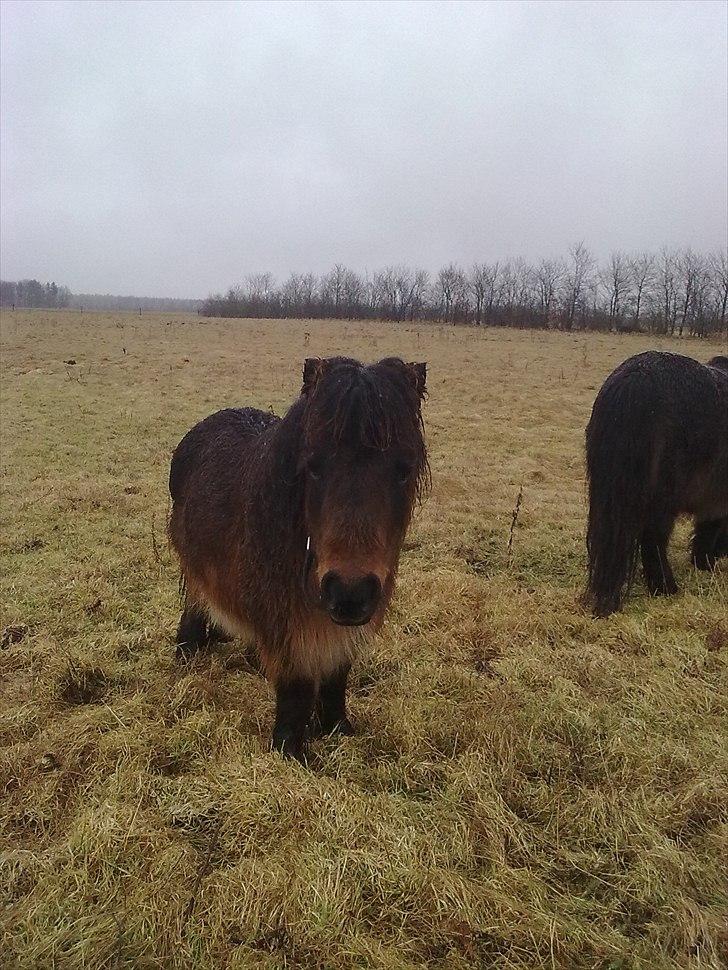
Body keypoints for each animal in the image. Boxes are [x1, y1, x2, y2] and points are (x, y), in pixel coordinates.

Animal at [168, 356, 430, 756]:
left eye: (404, 469)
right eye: (314, 466)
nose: (350, 594)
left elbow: (337, 678)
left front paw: (338, 731)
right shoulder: (289, 624)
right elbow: (295, 691)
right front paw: (289, 751)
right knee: (196, 603)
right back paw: (187, 651)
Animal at [584, 352, 728, 616]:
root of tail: (635, 380)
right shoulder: (716, 497)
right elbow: (709, 528)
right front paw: (705, 563)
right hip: (663, 500)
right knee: (654, 540)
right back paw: (665, 587)